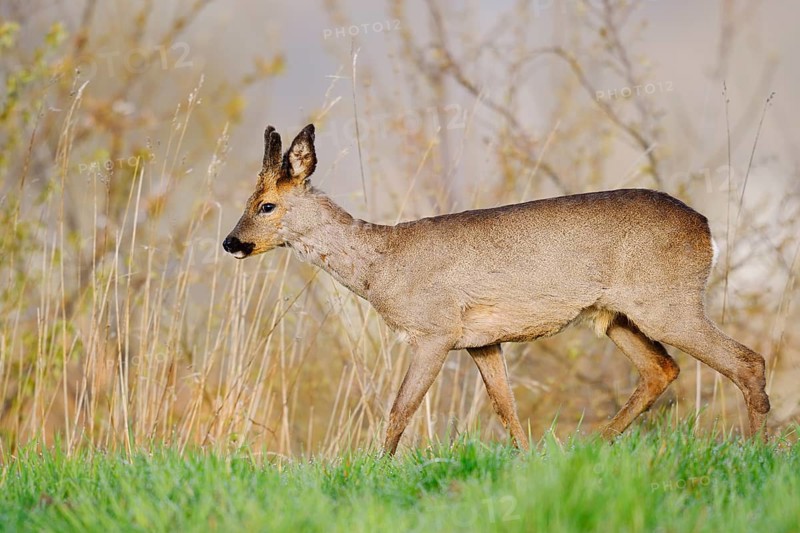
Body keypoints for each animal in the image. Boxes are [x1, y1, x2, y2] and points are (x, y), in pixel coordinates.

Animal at [222, 124, 770, 455]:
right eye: (247, 201)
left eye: (267, 205)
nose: (231, 242)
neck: (383, 264)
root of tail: (706, 229)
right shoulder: (482, 340)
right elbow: (506, 409)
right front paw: (526, 463)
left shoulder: (435, 329)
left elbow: (400, 409)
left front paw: (374, 469)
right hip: (616, 315)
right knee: (662, 368)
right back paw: (591, 447)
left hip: (667, 302)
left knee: (747, 360)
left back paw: (758, 450)